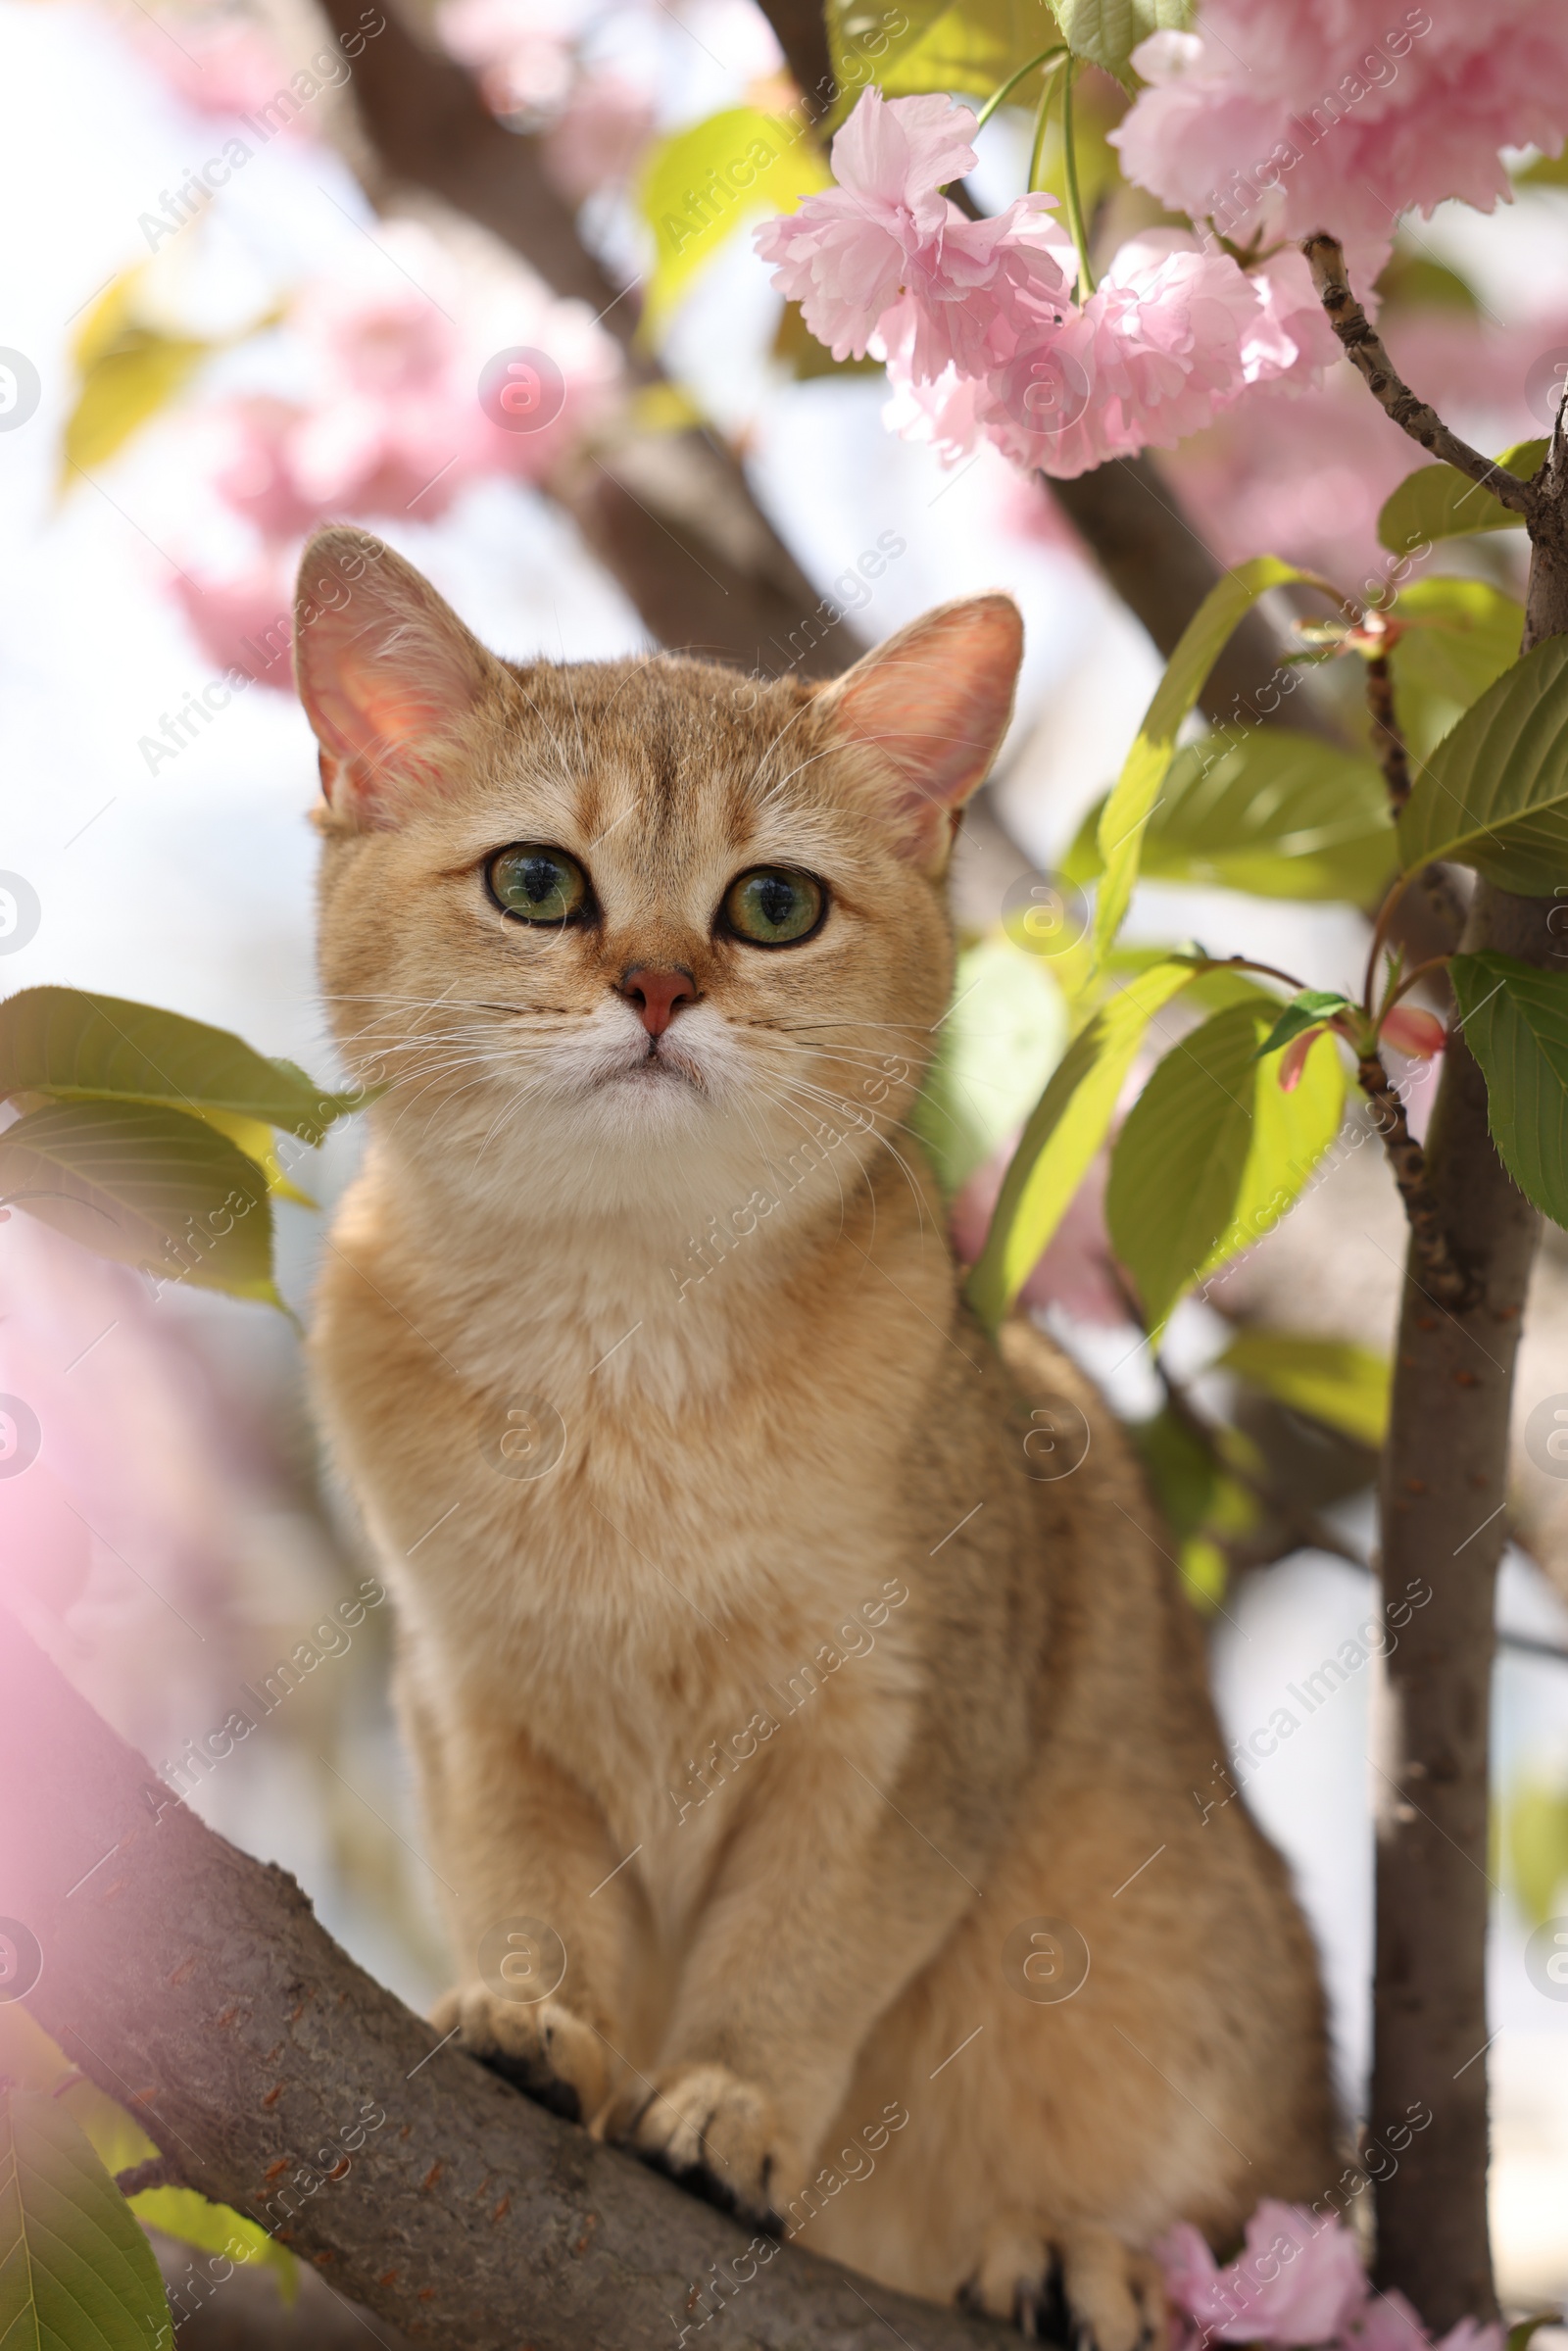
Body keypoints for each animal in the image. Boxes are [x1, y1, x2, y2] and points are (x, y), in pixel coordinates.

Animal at [297, 523, 1335, 2341]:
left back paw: (1082, 2258)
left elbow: (800, 1949)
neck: (615, 1360)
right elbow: (533, 1896)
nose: (658, 983)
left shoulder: (911, 1720)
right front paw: (534, 2018)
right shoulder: (474, 1701)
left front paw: (731, 2099)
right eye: (537, 883)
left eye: (771, 906)